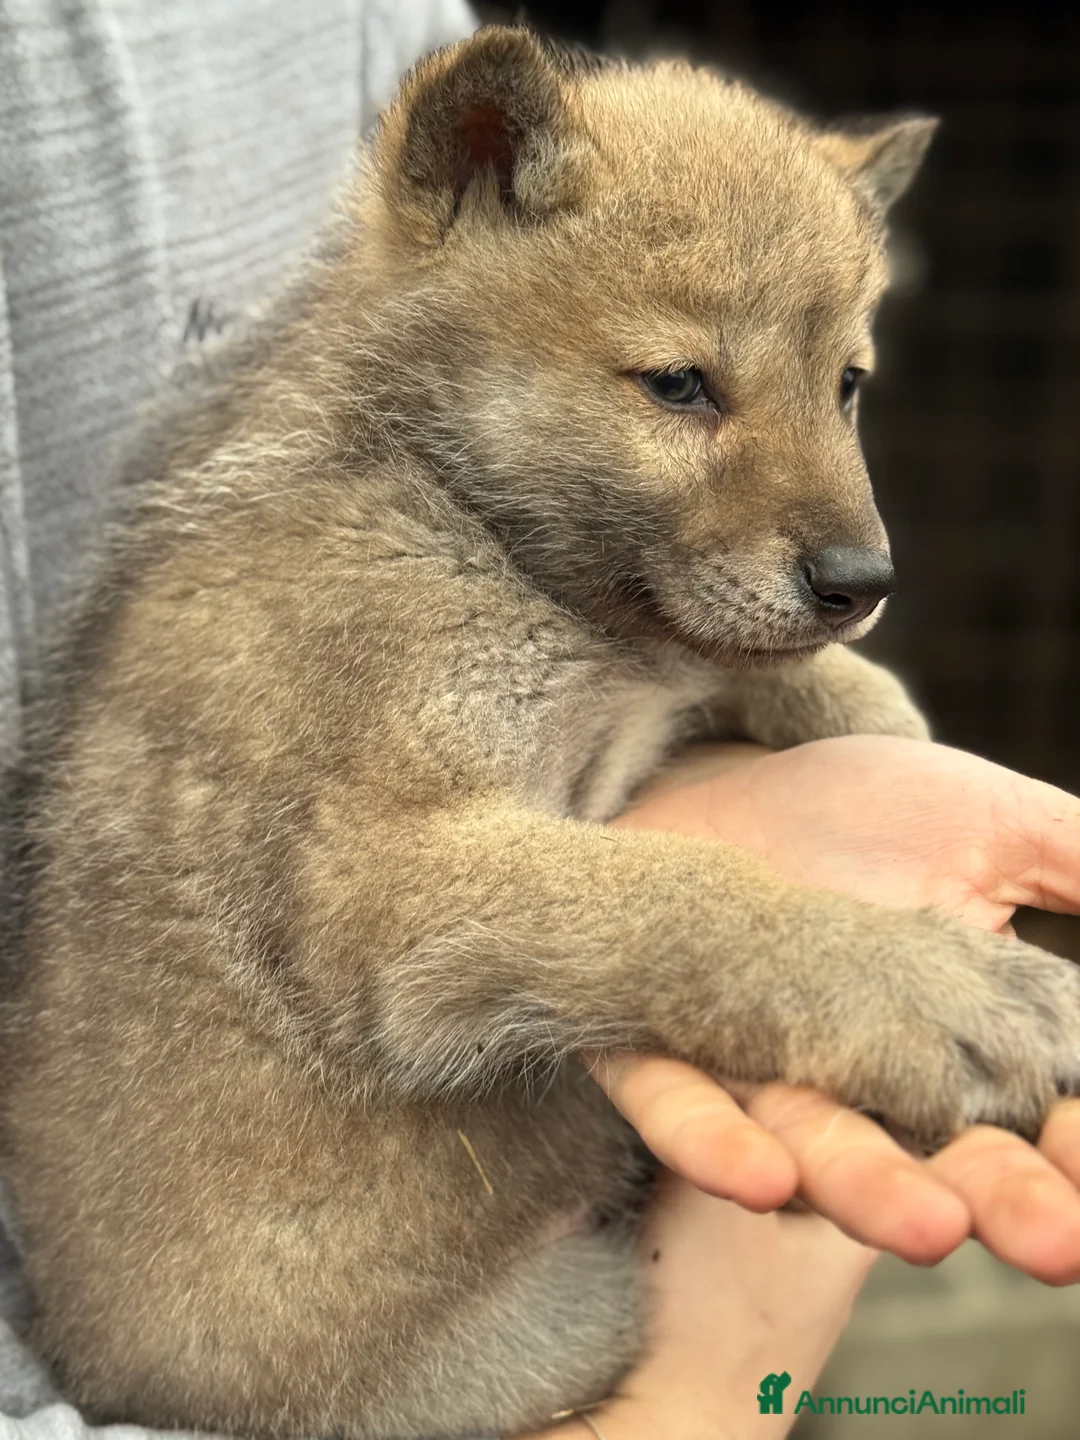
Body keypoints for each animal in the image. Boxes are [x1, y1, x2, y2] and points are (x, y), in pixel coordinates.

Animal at [4, 25, 1080, 1438]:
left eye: (847, 386)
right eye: (680, 385)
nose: (863, 582)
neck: (455, 510)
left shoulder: (658, 673)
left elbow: (765, 679)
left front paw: (872, 717)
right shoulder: (389, 875)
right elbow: (682, 898)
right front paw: (931, 990)